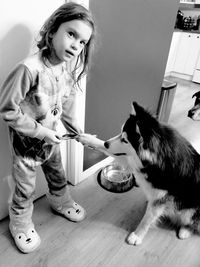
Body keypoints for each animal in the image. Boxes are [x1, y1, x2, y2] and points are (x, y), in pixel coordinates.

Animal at [81, 102, 200, 247]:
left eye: (125, 140)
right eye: (120, 133)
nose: (106, 143)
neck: (158, 160)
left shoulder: (161, 199)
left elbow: (147, 219)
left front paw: (137, 235)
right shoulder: (134, 162)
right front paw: (88, 139)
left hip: (191, 210)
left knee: (193, 222)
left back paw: (185, 231)